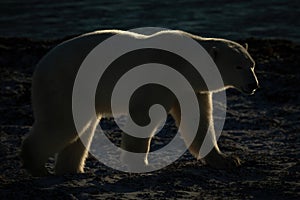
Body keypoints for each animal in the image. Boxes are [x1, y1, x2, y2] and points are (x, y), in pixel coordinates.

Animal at [21, 29, 258, 175]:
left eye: (252, 64)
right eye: (238, 66)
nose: (253, 85)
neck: (186, 63)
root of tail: (40, 65)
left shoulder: (191, 88)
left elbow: (198, 122)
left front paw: (228, 160)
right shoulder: (160, 76)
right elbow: (144, 116)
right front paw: (139, 163)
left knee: (80, 128)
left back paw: (71, 170)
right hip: (67, 84)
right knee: (62, 123)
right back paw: (36, 165)